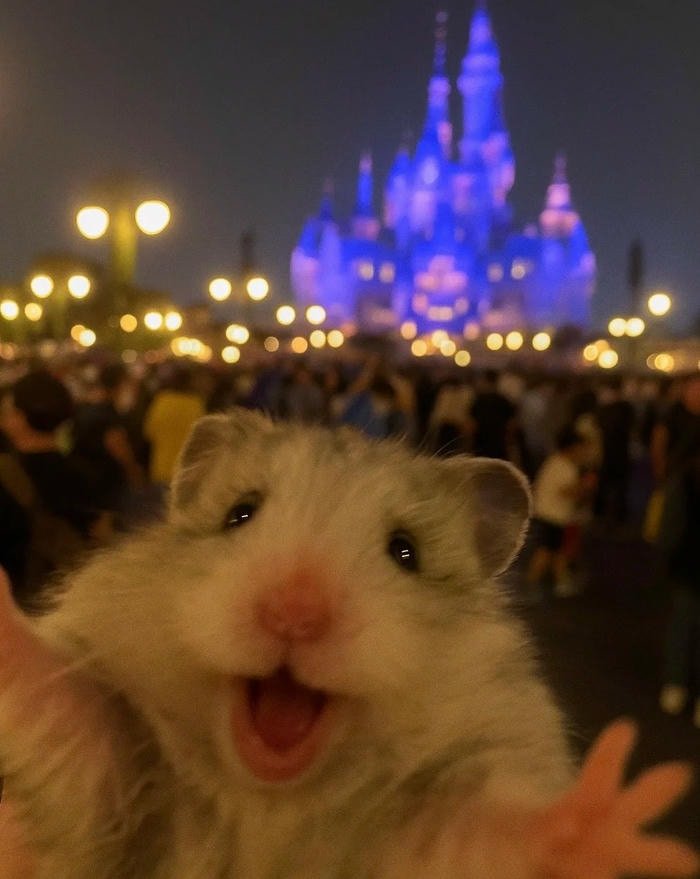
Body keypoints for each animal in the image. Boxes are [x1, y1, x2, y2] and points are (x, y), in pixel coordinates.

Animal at [0, 408, 696, 879]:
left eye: (405, 552)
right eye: (240, 513)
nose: (294, 615)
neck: (270, 798)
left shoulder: (435, 820)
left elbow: (500, 834)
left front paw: (611, 814)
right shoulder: (108, 768)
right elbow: (54, 702)